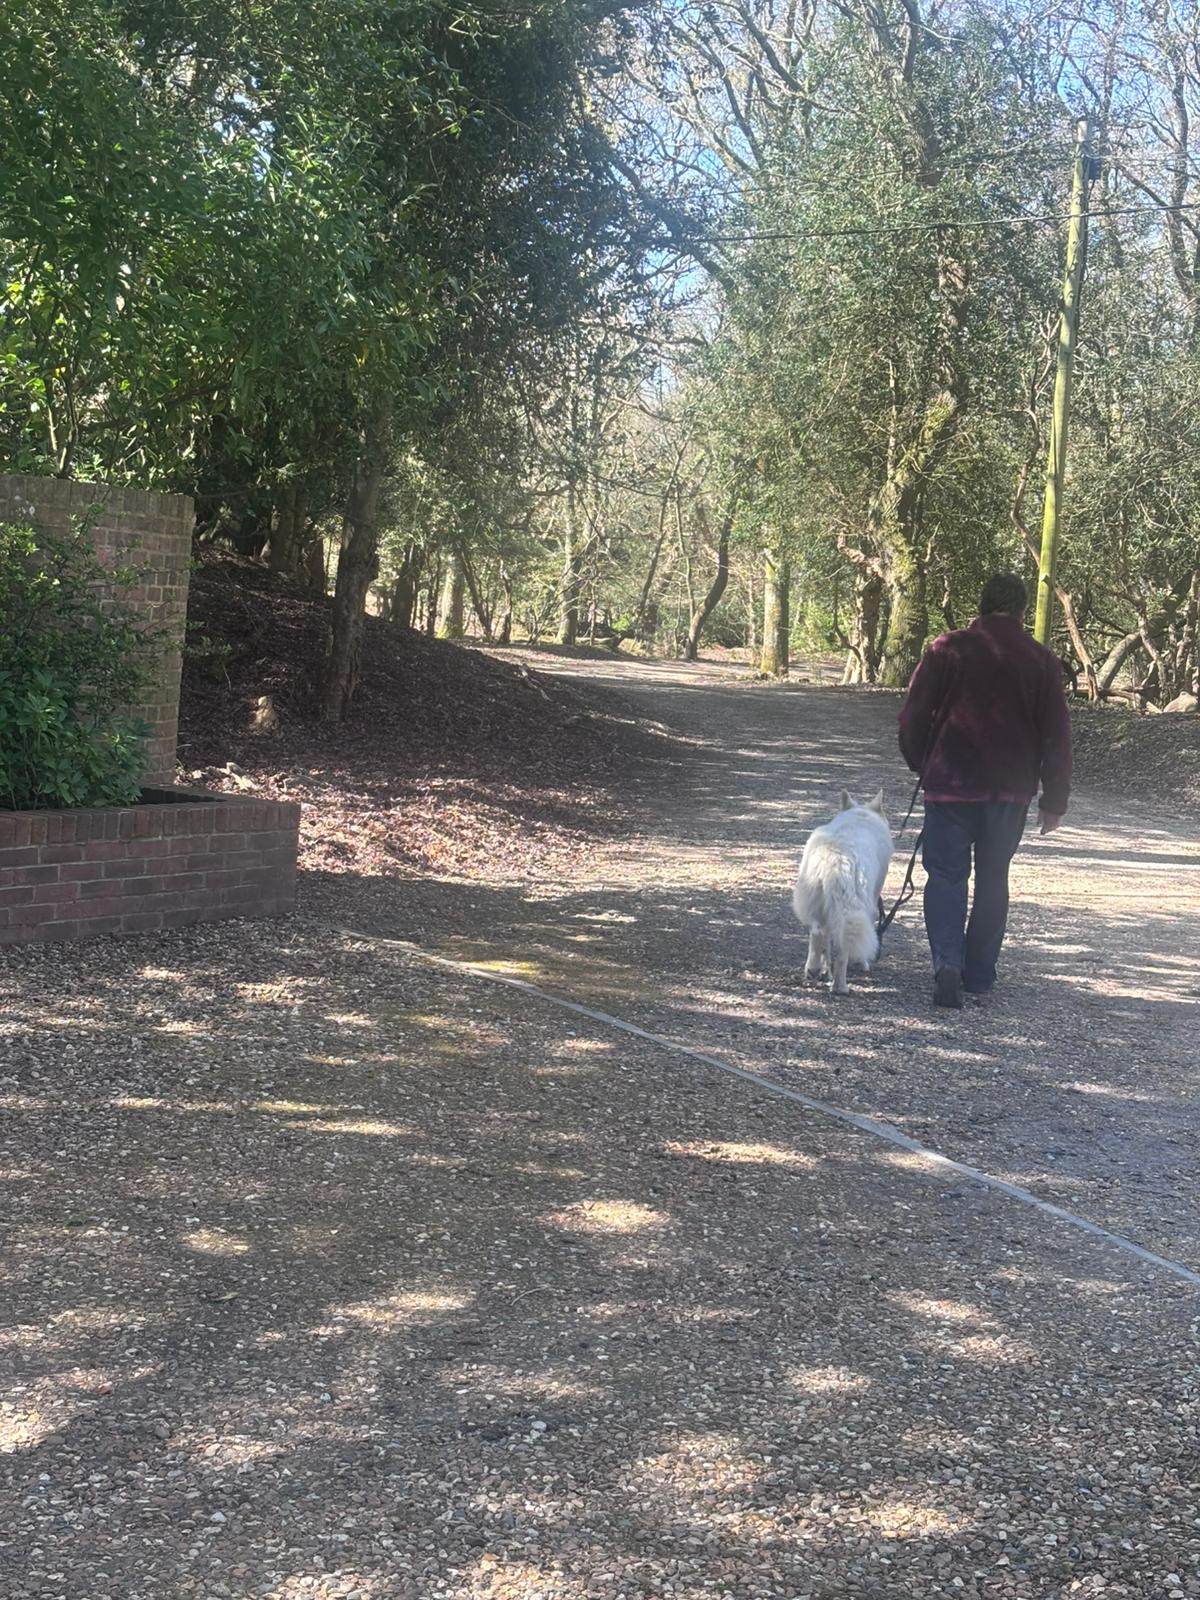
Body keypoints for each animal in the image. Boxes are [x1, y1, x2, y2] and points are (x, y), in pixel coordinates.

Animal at [793, 790, 893, 995]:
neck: (860, 815)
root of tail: (832, 857)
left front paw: (825, 971)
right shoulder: (870, 903)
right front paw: (863, 963)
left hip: (818, 903)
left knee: (817, 933)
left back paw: (815, 970)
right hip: (849, 910)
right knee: (842, 948)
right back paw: (840, 986)